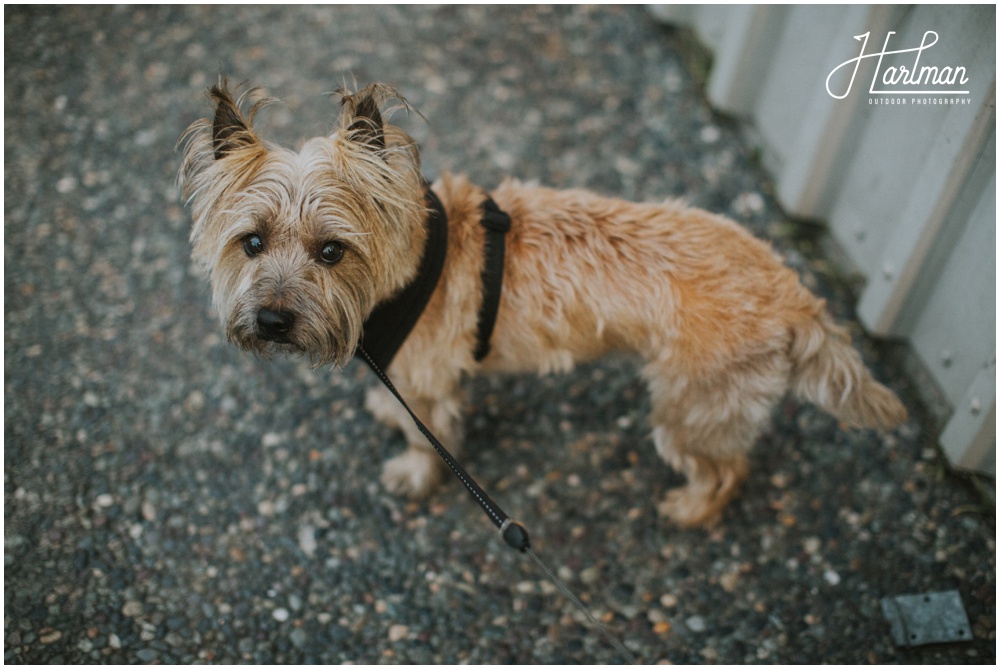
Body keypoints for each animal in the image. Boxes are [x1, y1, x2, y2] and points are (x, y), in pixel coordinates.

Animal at [180, 81, 908, 528]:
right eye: (251, 242)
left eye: (331, 251)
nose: (273, 320)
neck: (407, 267)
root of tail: (796, 295)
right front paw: (385, 411)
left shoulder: (431, 383)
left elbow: (425, 436)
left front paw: (414, 473)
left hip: (691, 408)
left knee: (727, 468)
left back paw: (690, 511)